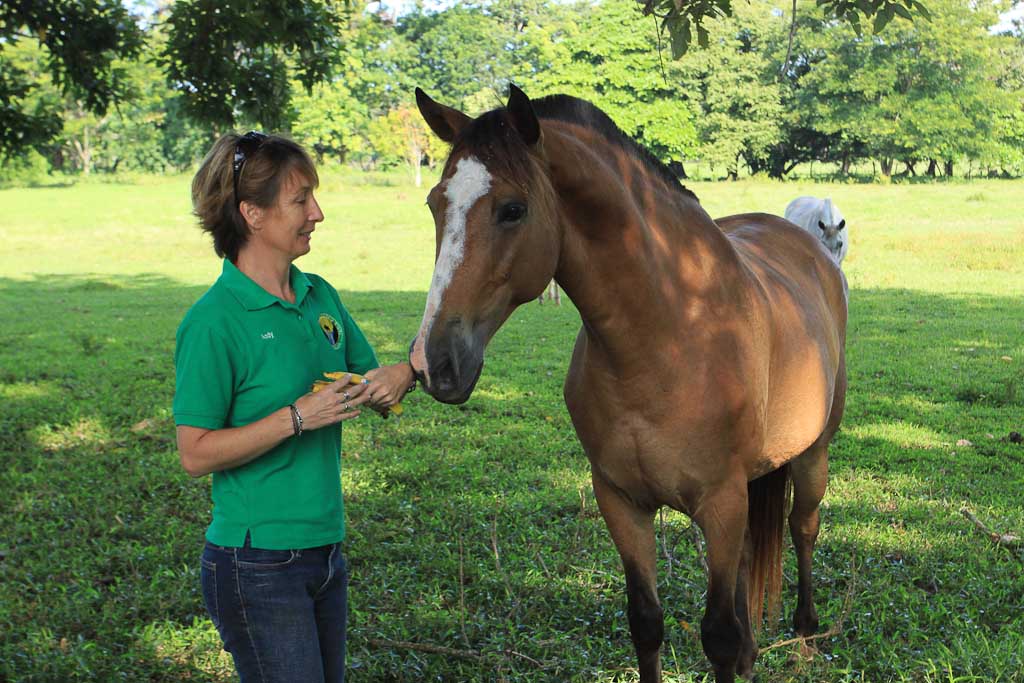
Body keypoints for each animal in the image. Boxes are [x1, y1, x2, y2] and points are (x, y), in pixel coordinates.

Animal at [407, 87, 847, 683]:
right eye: (436, 204)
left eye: (512, 209)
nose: (434, 363)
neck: (666, 336)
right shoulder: (621, 501)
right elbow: (647, 622)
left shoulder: (720, 502)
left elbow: (719, 634)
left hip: (811, 456)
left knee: (803, 529)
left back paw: (804, 637)